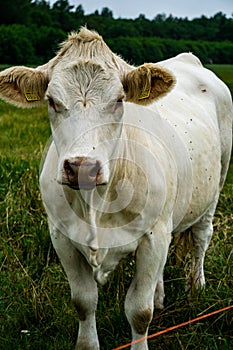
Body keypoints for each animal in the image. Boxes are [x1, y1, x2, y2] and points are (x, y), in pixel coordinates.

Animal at [0, 28, 232, 350]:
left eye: (120, 99)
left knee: (201, 238)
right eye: (52, 101)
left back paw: (196, 287)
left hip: (216, 183)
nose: (82, 166)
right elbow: (84, 302)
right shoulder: (61, 237)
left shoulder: (153, 237)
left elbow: (139, 311)